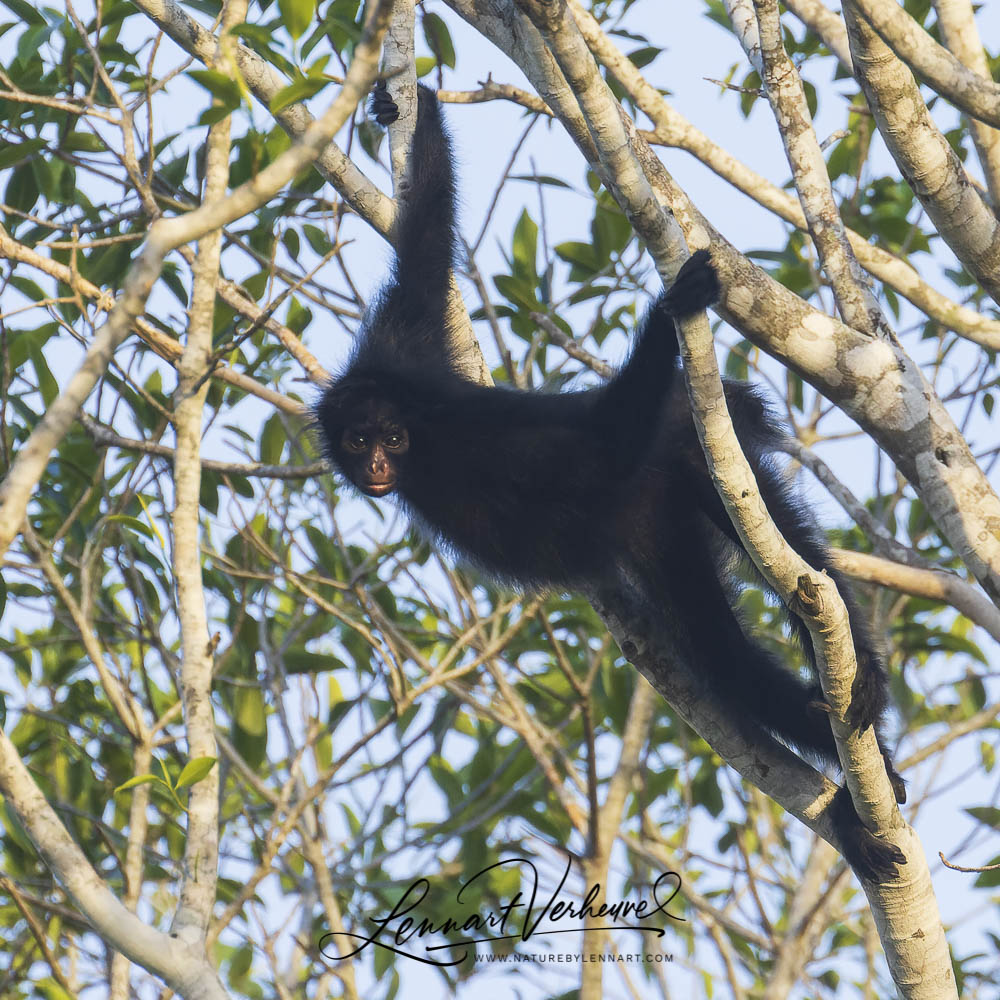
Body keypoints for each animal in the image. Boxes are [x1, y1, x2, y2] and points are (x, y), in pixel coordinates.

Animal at [316, 86, 912, 884]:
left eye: (391, 440)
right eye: (358, 440)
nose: (377, 465)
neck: (425, 434)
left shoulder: (463, 427)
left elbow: (597, 446)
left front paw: (671, 310)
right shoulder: (399, 348)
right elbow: (426, 250)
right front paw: (415, 107)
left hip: (681, 471)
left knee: (760, 601)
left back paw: (859, 705)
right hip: (676, 508)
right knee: (738, 642)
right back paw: (856, 776)